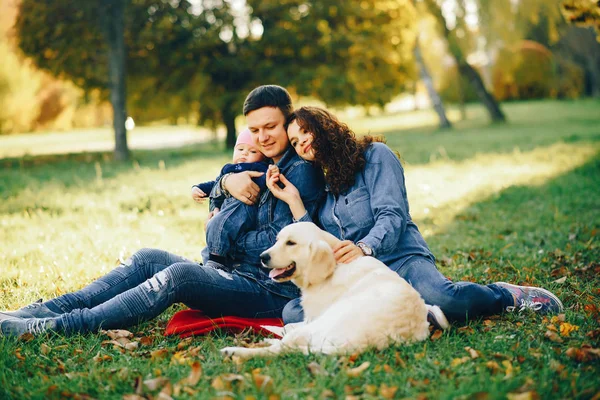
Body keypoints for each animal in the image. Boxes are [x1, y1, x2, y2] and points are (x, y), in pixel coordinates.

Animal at [220, 222, 440, 360]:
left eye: (291, 243)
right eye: (277, 240)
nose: (263, 257)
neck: (334, 266)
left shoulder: (313, 318)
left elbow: (288, 327)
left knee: (284, 347)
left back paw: (236, 350)